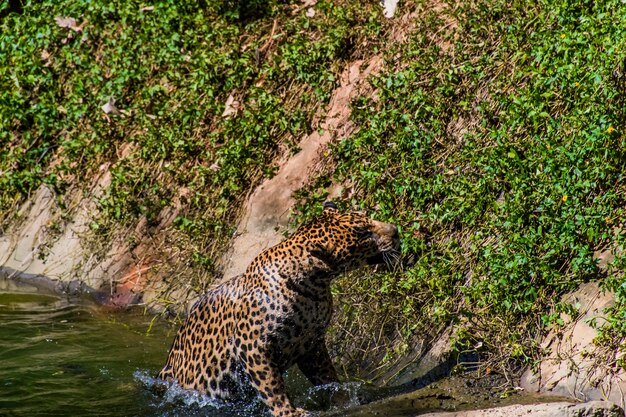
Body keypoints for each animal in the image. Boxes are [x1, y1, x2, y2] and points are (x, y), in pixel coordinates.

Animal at [157, 200, 400, 414]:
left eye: (367, 217)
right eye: (363, 234)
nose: (396, 230)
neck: (315, 286)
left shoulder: (312, 343)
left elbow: (328, 376)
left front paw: (342, 400)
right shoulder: (253, 347)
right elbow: (272, 387)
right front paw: (289, 412)